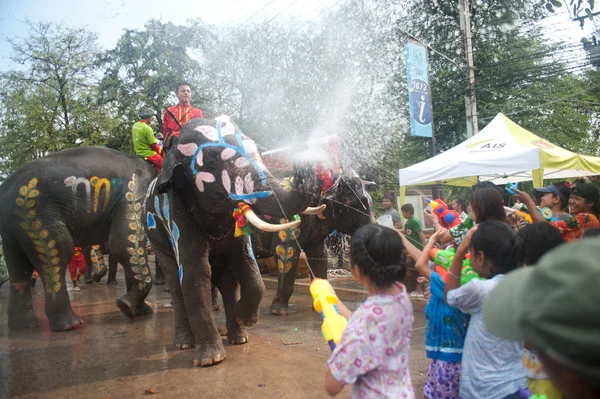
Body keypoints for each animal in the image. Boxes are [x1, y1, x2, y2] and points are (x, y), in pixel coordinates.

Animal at [0, 146, 157, 332]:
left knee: (18, 267)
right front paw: (125, 306)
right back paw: (70, 325)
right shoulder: (134, 194)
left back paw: (26, 325)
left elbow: (127, 246)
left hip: (13, 227)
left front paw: (140, 311)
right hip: (35, 213)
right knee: (58, 252)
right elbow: (121, 244)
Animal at [144, 118, 324, 368]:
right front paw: (211, 360)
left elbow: (247, 265)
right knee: (175, 279)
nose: (305, 149)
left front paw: (244, 318)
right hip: (155, 237)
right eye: (210, 162)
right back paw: (185, 344)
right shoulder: (176, 213)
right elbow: (195, 272)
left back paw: (238, 338)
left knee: (227, 279)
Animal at [253, 170, 376, 318]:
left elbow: (320, 256)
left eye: (370, 201)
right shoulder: (287, 223)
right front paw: (279, 312)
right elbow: (287, 255)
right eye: (352, 205)